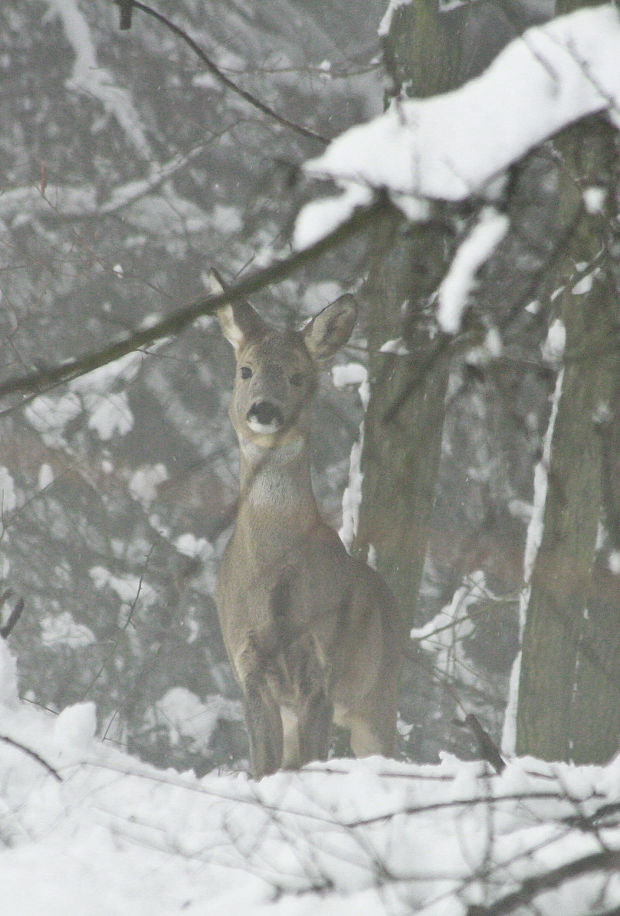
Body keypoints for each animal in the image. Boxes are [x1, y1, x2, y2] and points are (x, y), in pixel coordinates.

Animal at [213, 274, 406, 780]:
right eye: (245, 369)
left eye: (299, 376)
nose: (264, 409)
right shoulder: (248, 666)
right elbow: (265, 766)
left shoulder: (321, 668)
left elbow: (307, 763)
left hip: (378, 695)